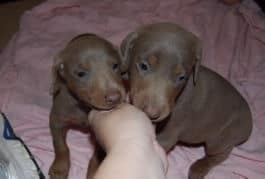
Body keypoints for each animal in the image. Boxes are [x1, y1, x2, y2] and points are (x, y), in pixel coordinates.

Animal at [48, 34, 125, 179]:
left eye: (115, 66)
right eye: (81, 73)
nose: (115, 98)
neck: (84, 106)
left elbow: (97, 154)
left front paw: (95, 171)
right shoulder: (56, 120)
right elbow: (60, 145)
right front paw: (60, 167)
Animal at [120, 22, 252, 179]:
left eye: (181, 77)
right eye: (143, 66)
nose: (152, 113)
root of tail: (249, 123)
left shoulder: (169, 133)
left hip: (221, 137)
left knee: (221, 154)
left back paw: (198, 168)